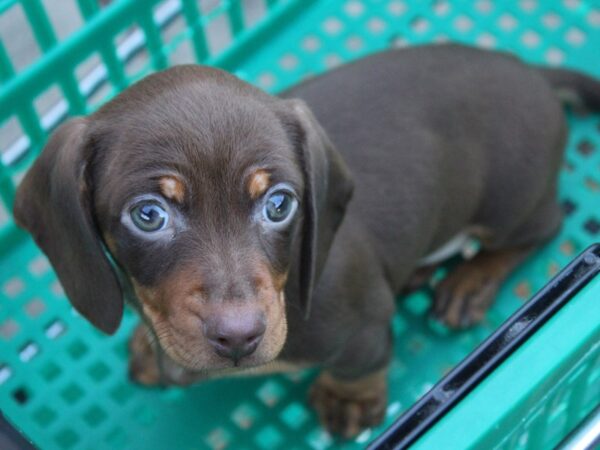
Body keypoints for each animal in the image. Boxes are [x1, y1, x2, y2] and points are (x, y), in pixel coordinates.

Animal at [14, 44, 600, 438]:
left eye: (279, 204)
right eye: (148, 215)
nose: (239, 337)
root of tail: (531, 72)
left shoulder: (363, 324)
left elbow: (360, 364)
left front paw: (347, 401)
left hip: (508, 204)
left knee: (541, 227)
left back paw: (470, 280)